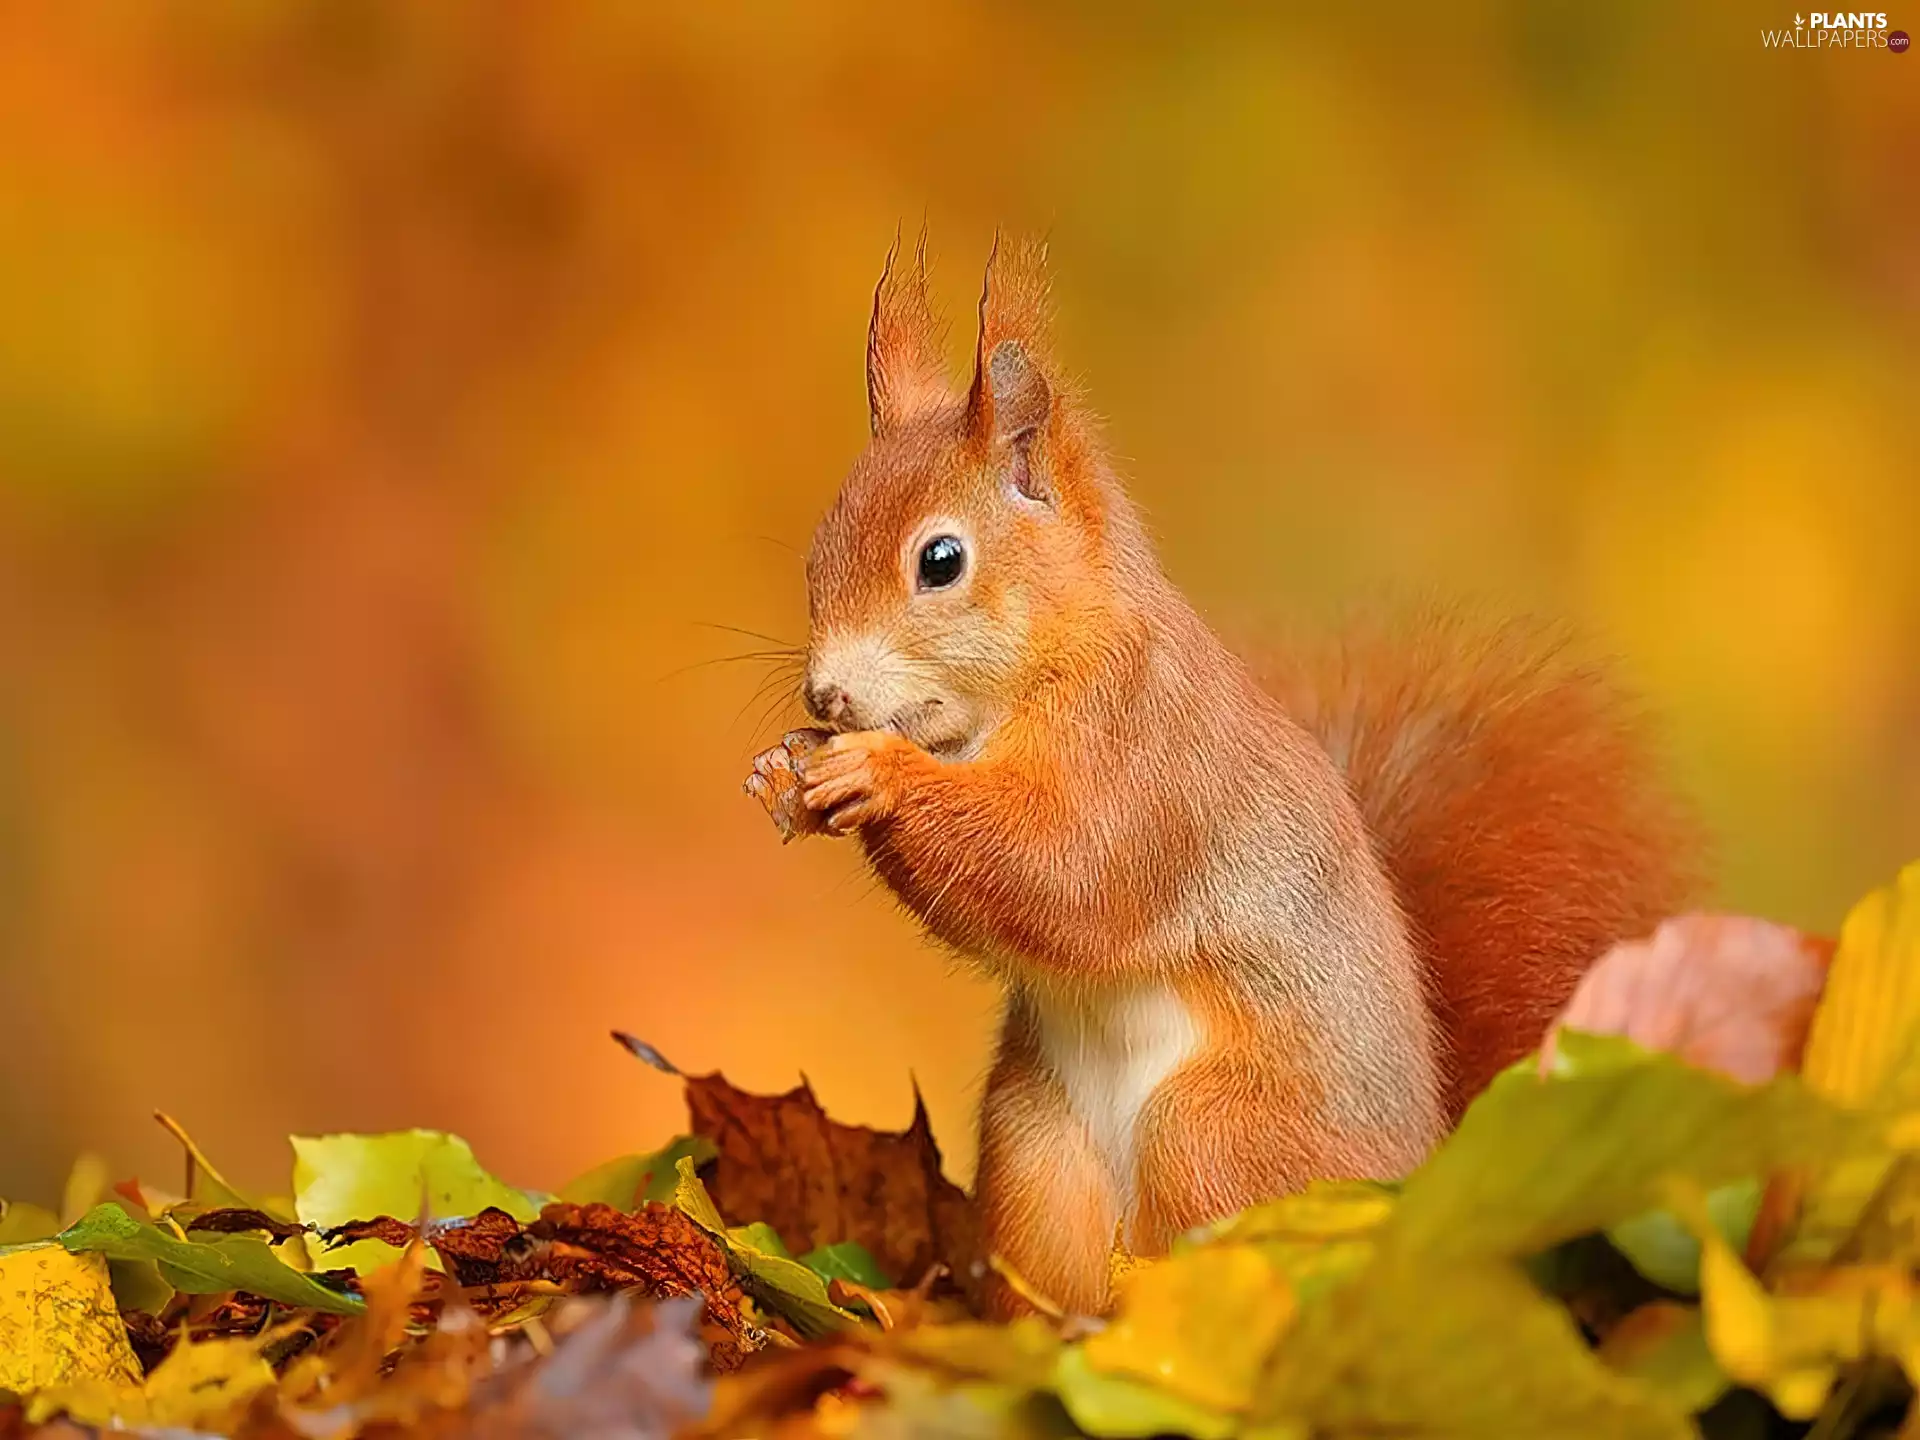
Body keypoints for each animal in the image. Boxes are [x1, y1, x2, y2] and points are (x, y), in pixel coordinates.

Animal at [743, 233, 1700, 1318]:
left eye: (940, 561)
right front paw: (785, 769)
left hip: (1215, 1135)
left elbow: (1064, 876)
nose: (826, 695)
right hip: (1036, 1146)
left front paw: (879, 774)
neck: (1032, 683)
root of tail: (1417, 1200)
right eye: (818, 547)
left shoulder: (1146, 764)